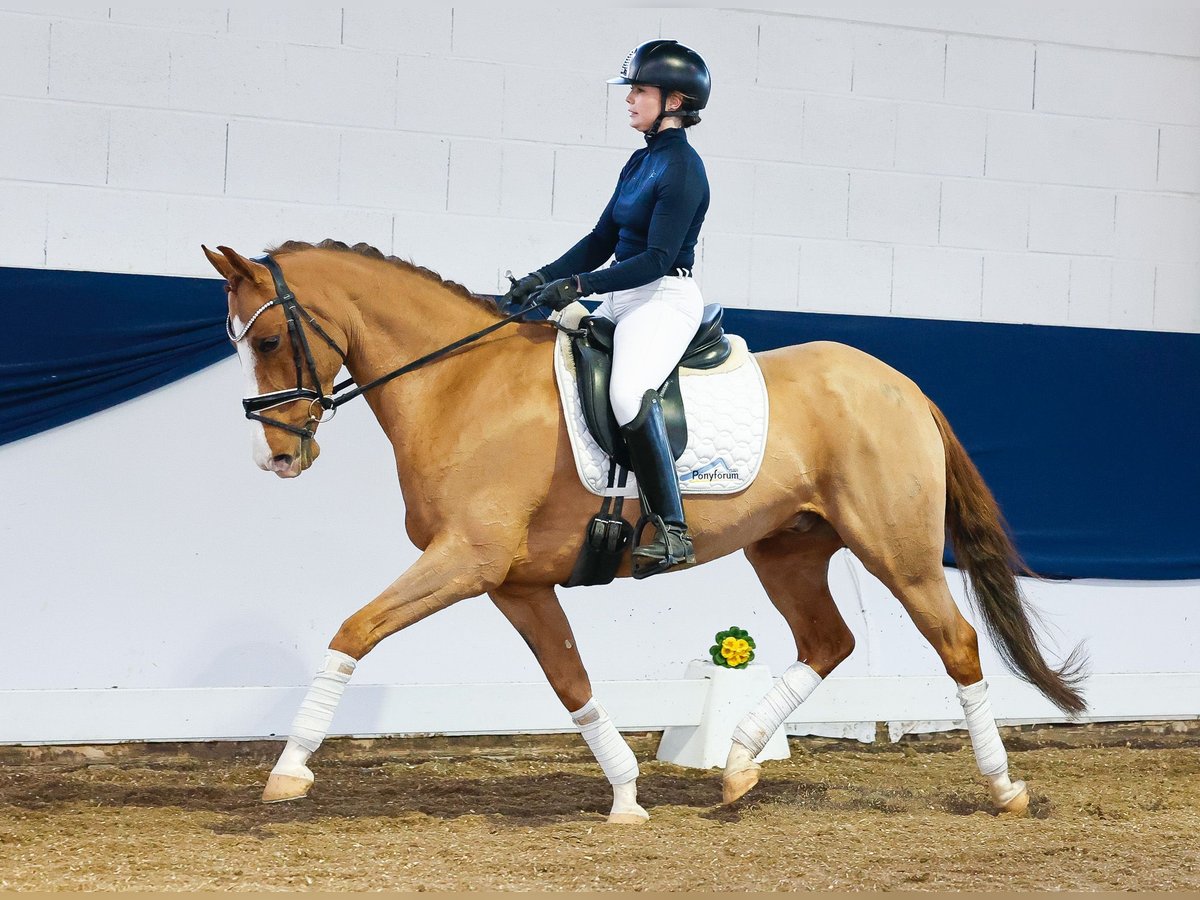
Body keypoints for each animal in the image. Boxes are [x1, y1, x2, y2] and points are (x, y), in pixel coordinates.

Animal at [204, 237, 1089, 825]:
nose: (277, 456)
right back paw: (738, 768)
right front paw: (628, 795)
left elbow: (353, 632)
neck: (461, 384)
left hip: (898, 554)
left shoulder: (466, 560)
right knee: (828, 642)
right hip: (788, 549)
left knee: (956, 644)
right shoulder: (514, 582)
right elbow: (572, 683)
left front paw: (288, 772)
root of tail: (901, 384)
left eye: (272, 338)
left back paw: (1004, 788)